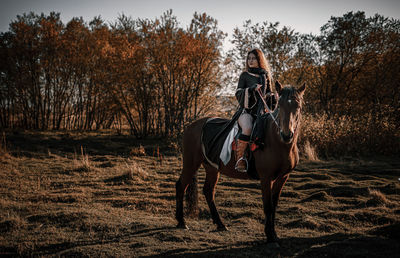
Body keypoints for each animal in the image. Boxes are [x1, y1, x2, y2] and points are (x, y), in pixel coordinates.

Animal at [175, 81, 306, 245]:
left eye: (298, 106)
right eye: (280, 105)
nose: (286, 134)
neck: (277, 142)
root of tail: (190, 126)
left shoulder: (283, 177)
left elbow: (274, 205)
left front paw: (274, 234)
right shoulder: (266, 178)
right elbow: (268, 206)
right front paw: (270, 236)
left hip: (212, 168)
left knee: (208, 191)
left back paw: (220, 224)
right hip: (191, 163)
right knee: (181, 186)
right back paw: (181, 222)